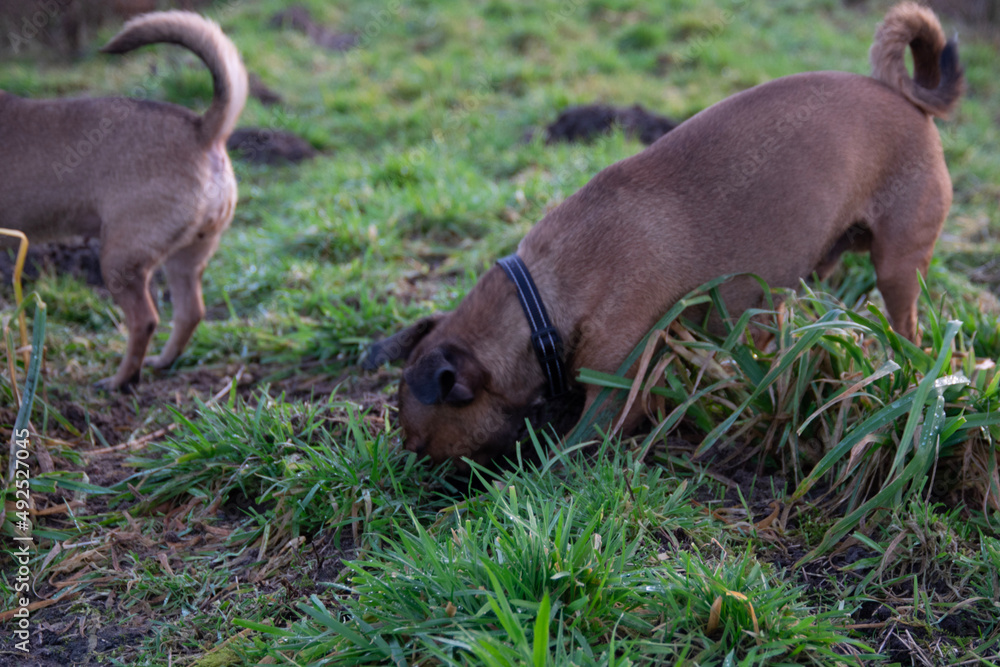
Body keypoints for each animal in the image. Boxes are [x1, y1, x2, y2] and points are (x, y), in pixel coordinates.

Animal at [0, 11, 247, 392]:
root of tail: (204, 131)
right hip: (186, 256)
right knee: (190, 311)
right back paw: (162, 362)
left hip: (119, 259)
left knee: (145, 320)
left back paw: (121, 380)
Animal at [366, 2, 960, 468]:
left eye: (423, 446)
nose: (416, 477)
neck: (542, 298)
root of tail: (905, 99)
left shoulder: (615, 397)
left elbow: (569, 449)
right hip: (811, 269)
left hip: (897, 265)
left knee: (907, 327)